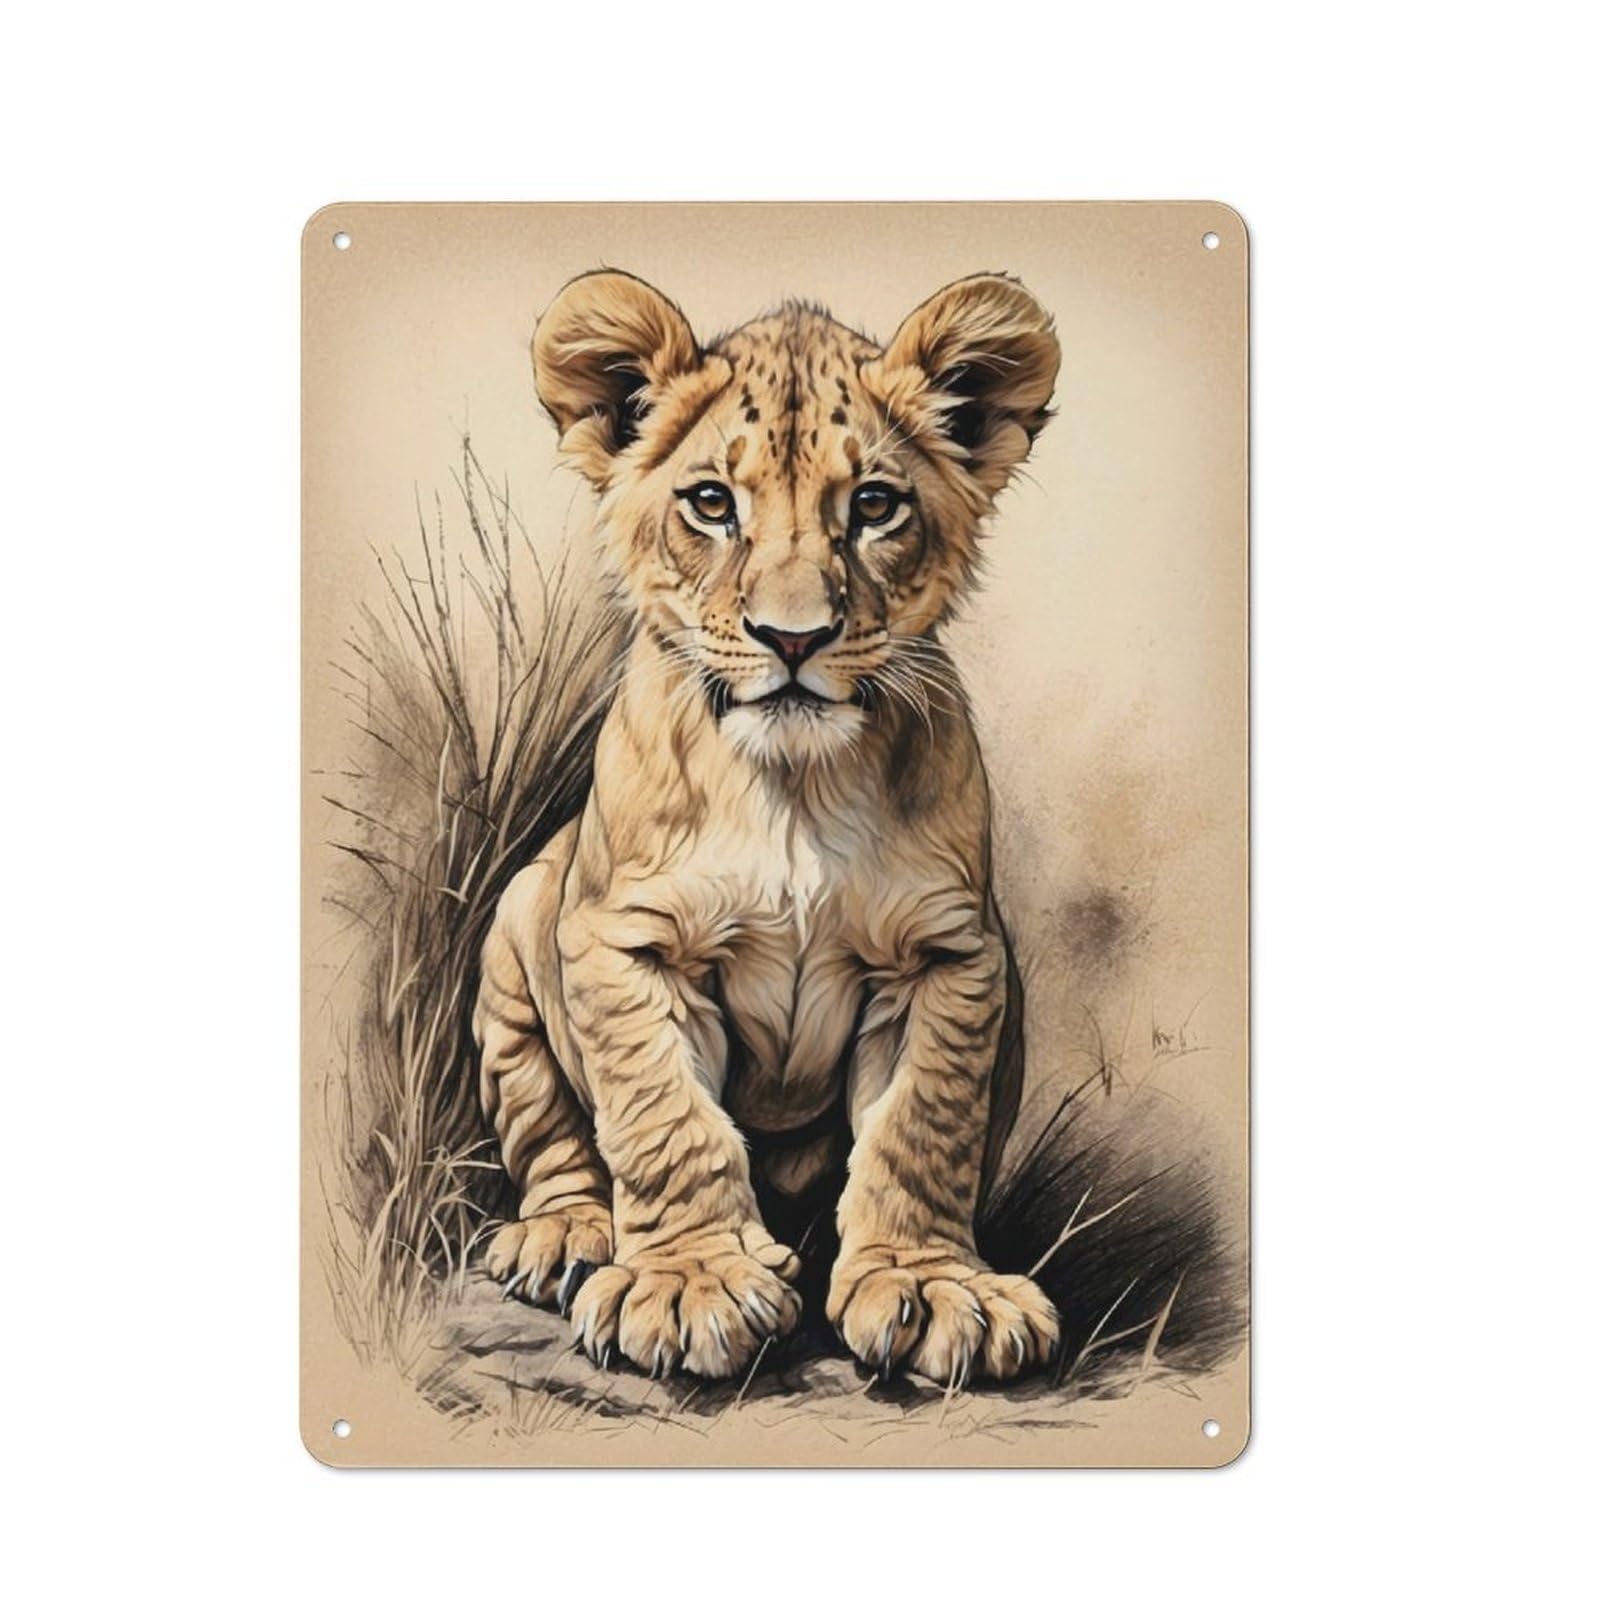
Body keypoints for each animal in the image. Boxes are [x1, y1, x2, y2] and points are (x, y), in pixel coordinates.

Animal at [473, 269, 1062, 1385]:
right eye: (712, 503)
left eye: (873, 504)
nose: (794, 639)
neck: (792, 787)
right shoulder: (623, 941)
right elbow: (664, 1120)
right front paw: (687, 1282)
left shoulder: (949, 954)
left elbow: (923, 1128)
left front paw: (931, 1285)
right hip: (517, 935)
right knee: (553, 1139)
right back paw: (563, 1236)